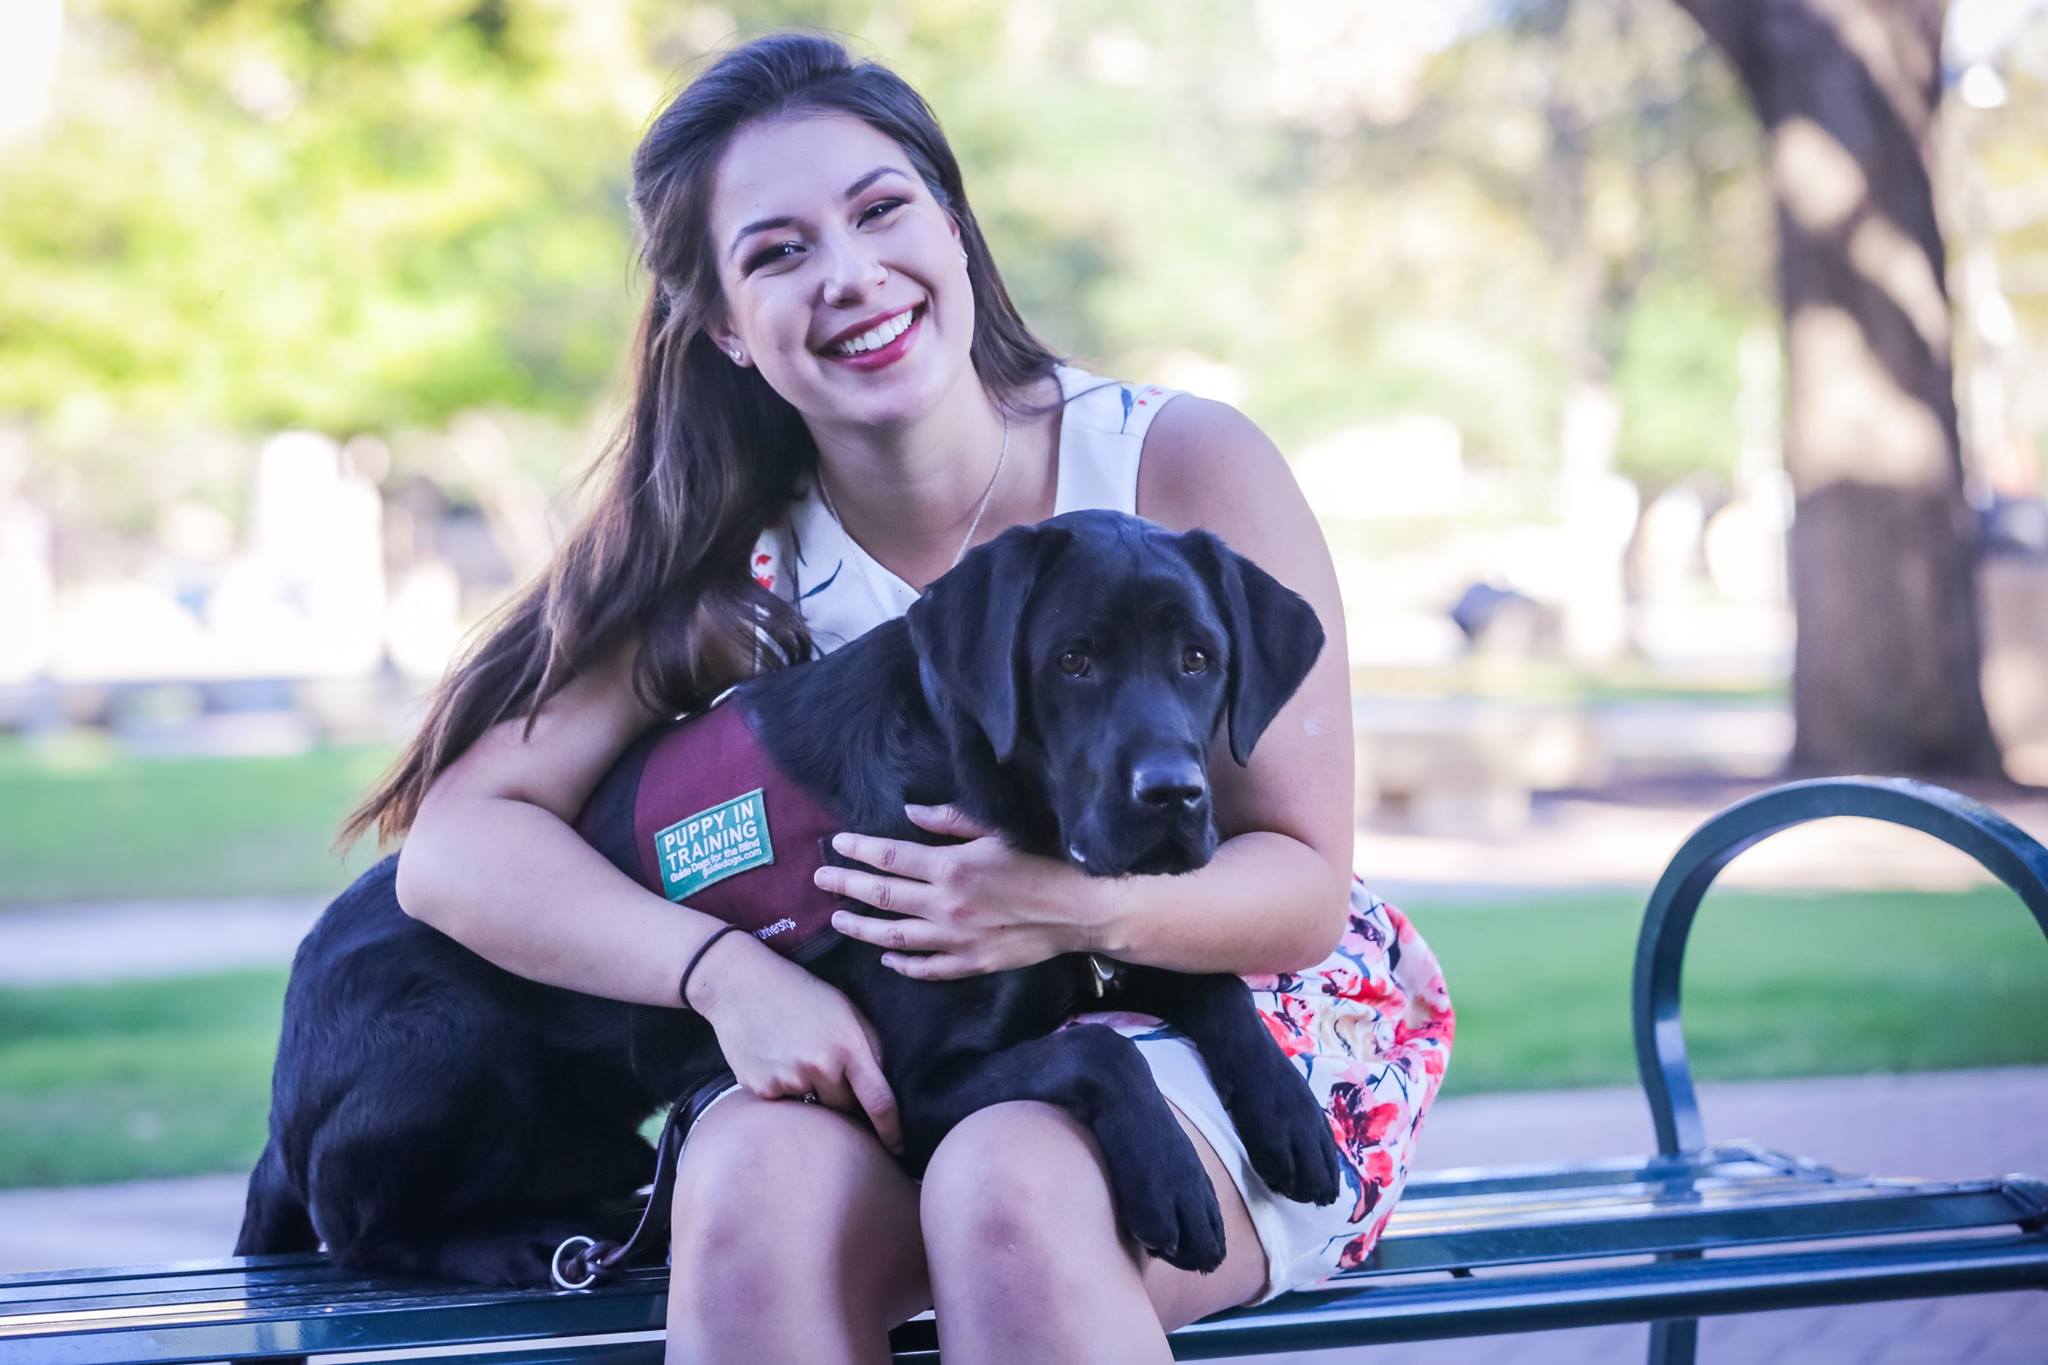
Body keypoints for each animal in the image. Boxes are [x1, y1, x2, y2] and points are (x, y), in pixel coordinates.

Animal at [239, 511, 1343, 1293]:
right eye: (1073, 660)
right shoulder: (913, 1090)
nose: (1172, 797)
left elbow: (1207, 985)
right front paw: (1172, 1178)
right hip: (451, 1042)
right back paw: (519, 1246)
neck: (986, 790)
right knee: (359, 1230)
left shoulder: (1089, 945)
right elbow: (1103, 1053)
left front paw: (1293, 1121)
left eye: (1198, 659)